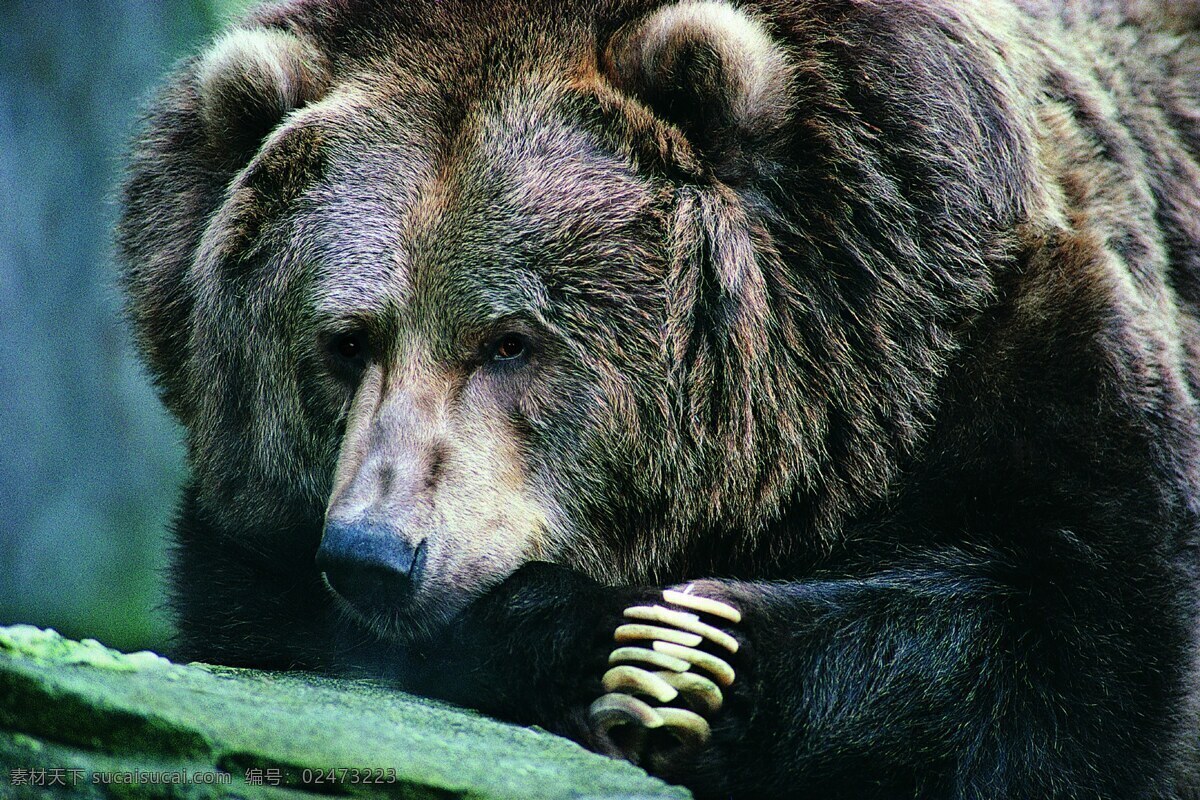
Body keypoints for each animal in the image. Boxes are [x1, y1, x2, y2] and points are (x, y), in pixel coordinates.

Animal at [118, 0, 1200, 797]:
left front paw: (694, 655)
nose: (376, 553)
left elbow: (1069, 646)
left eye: (509, 339)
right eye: (346, 340)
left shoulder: (1006, 330)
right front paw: (621, 649)